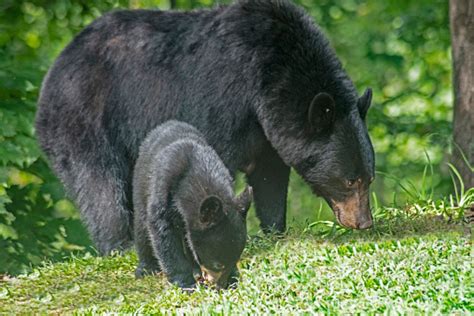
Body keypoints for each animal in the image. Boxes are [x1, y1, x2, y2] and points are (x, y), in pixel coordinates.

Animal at [36, 0, 374, 253]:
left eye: (368, 178)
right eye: (350, 180)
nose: (364, 222)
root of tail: (58, 64)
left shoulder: (266, 131)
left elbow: (270, 177)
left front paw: (275, 229)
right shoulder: (221, 101)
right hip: (86, 119)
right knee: (101, 184)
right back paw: (120, 244)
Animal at [133, 120, 252, 288]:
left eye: (235, 259)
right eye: (218, 264)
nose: (220, 286)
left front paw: (233, 277)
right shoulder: (164, 189)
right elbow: (162, 232)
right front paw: (185, 283)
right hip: (142, 183)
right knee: (142, 226)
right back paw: (145, 268)